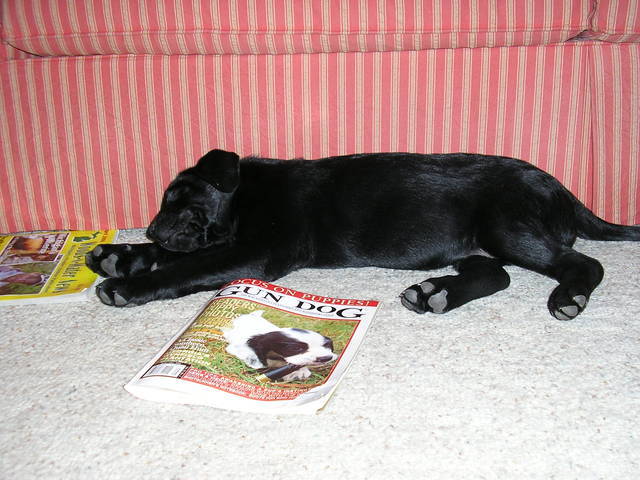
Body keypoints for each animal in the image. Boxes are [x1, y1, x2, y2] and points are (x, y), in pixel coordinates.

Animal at [86, 149, 640, 320]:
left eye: (180, 197)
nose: (151, 225)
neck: (243, 196)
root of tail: (565, 191)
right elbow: (173, 255)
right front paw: (119, 252)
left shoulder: (257, 251)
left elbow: (187, 265)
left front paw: (127, 284)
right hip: (474, 243)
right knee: (494, 275)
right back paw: (434, 294)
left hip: (507, 227)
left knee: (584, 263)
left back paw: (569, 297)